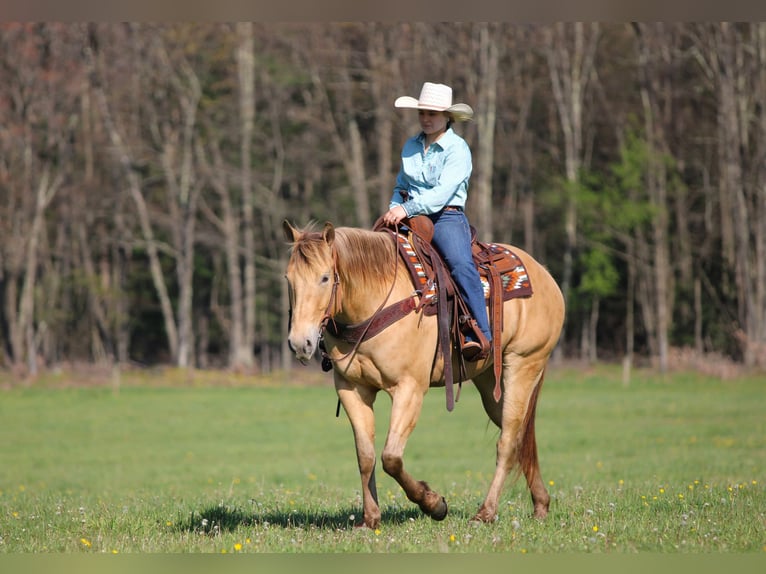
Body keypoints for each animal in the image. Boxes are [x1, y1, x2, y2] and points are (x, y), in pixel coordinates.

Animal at [282, 220, 565, 529]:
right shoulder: (352, 389)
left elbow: (391, 457)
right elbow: (366, 456)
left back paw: (485, 513)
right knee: (519, 434)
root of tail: (544, 275)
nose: (300, 343)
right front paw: (370, 519)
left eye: (324, 278)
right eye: (288, 279)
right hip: (490, 380)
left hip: (523, 365)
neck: (375, 301)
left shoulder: (409, 389)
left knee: (508, 441)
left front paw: (435, 504)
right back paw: (541, 504)